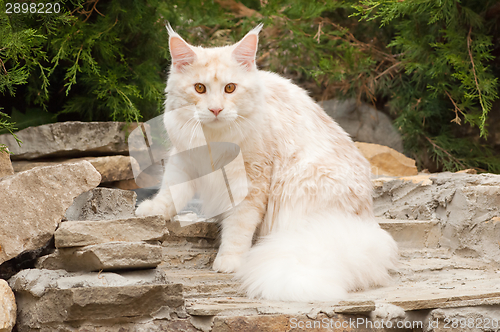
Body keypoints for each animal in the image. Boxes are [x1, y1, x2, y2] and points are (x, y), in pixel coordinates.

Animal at [134, 24, 398, 302]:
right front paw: (152, 210)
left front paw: (230, 260)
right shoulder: (184, 160)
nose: (216, 110)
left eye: (230, 88)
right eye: (199, 88)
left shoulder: (251, 180)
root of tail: (365, 223)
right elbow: (170, 192)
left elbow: (238, 226)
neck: (215, 138)